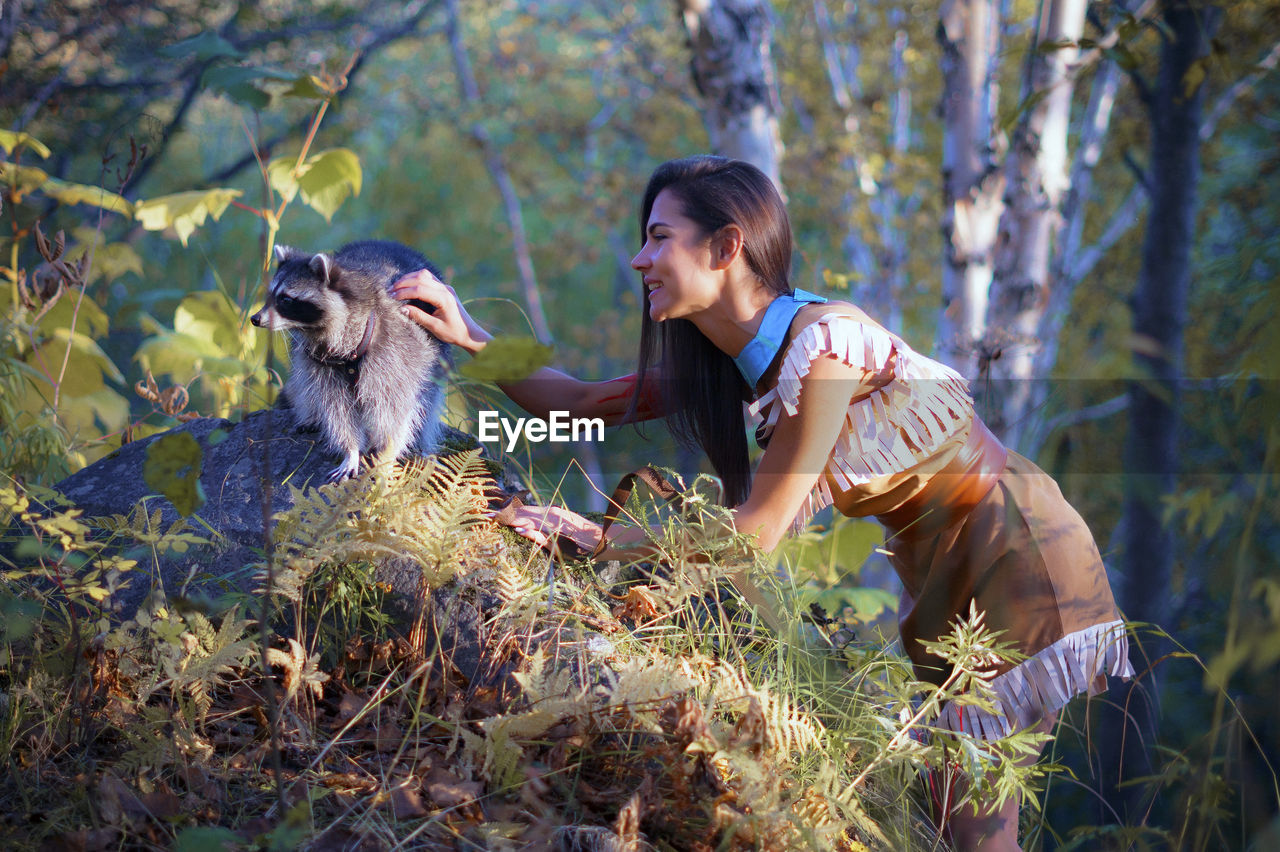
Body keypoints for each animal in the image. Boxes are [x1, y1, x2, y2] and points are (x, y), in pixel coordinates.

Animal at [248, 239, 450, 481]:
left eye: (286, 299)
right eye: (270, 296)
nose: (255, 318)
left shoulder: (396, 351)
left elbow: (396, 408)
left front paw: (387, 451)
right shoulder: (321, 362)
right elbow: (336, 408)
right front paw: (351, 450)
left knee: (427, 398)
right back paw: (311, 414)